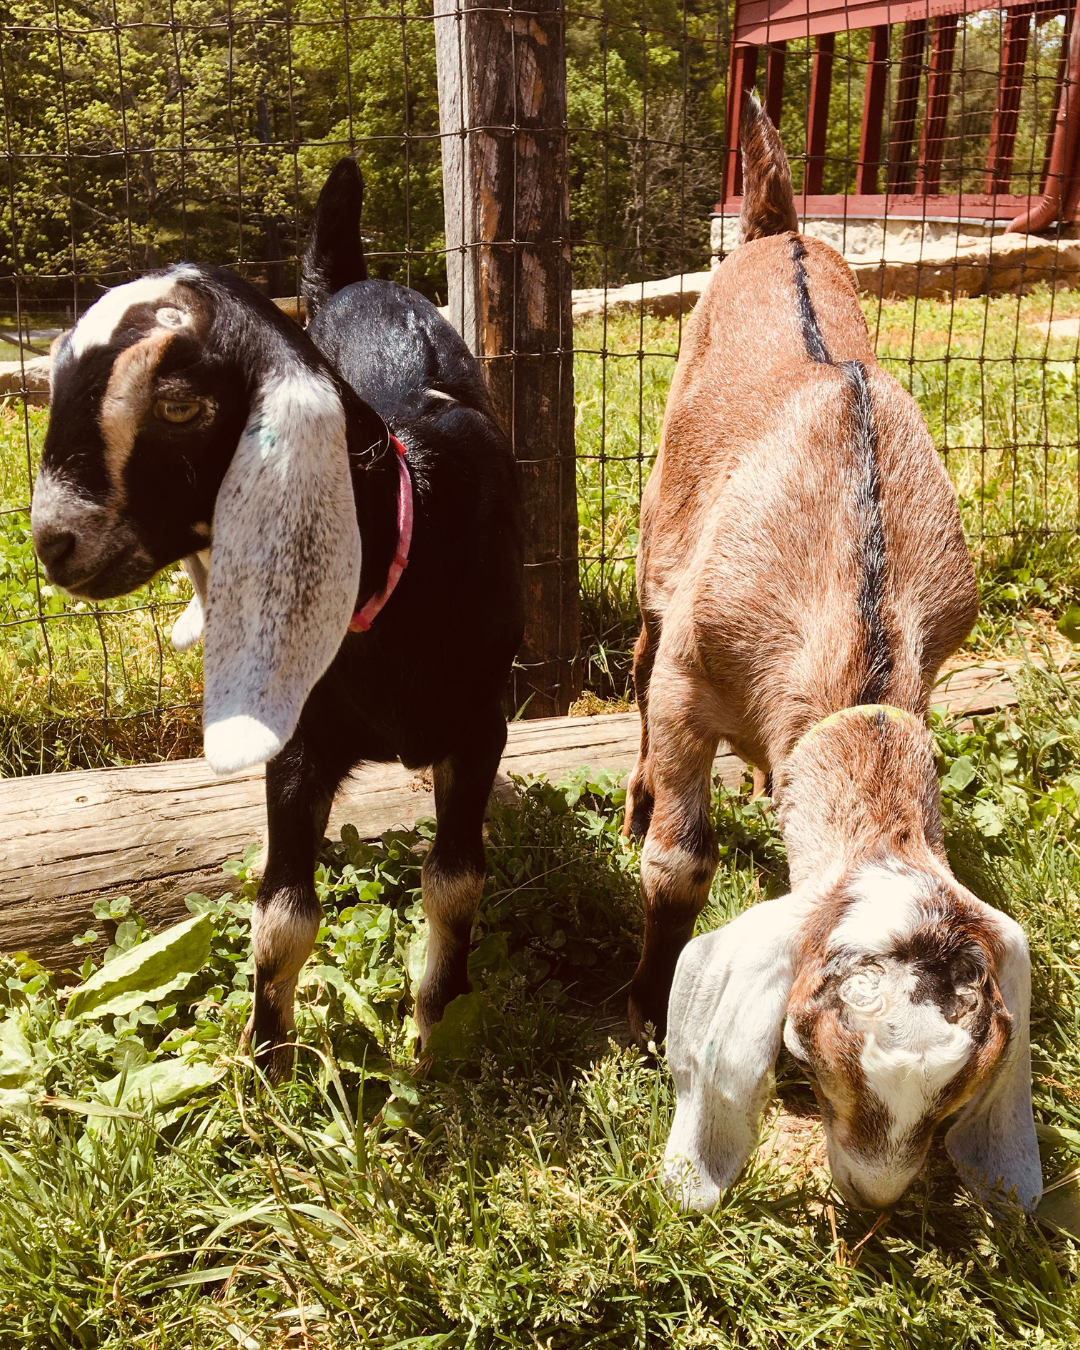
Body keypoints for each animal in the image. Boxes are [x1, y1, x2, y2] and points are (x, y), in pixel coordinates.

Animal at [31, 159, 524, 1080]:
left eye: (179, 405)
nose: (52, 541)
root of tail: (359, 280)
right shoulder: (298, 740)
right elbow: (284, 913)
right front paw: (265, 1064)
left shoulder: (481, 723)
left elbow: (454, 881)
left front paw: (436, 1029)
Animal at [626, 98, 1041, 1214]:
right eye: (803, 1057)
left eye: (957, 1096)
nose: (872, 1197)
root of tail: (780, 226)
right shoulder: (688, 677)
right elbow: (678, 860)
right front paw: (640, 1007)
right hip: (662, 506)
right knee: (638, 633)